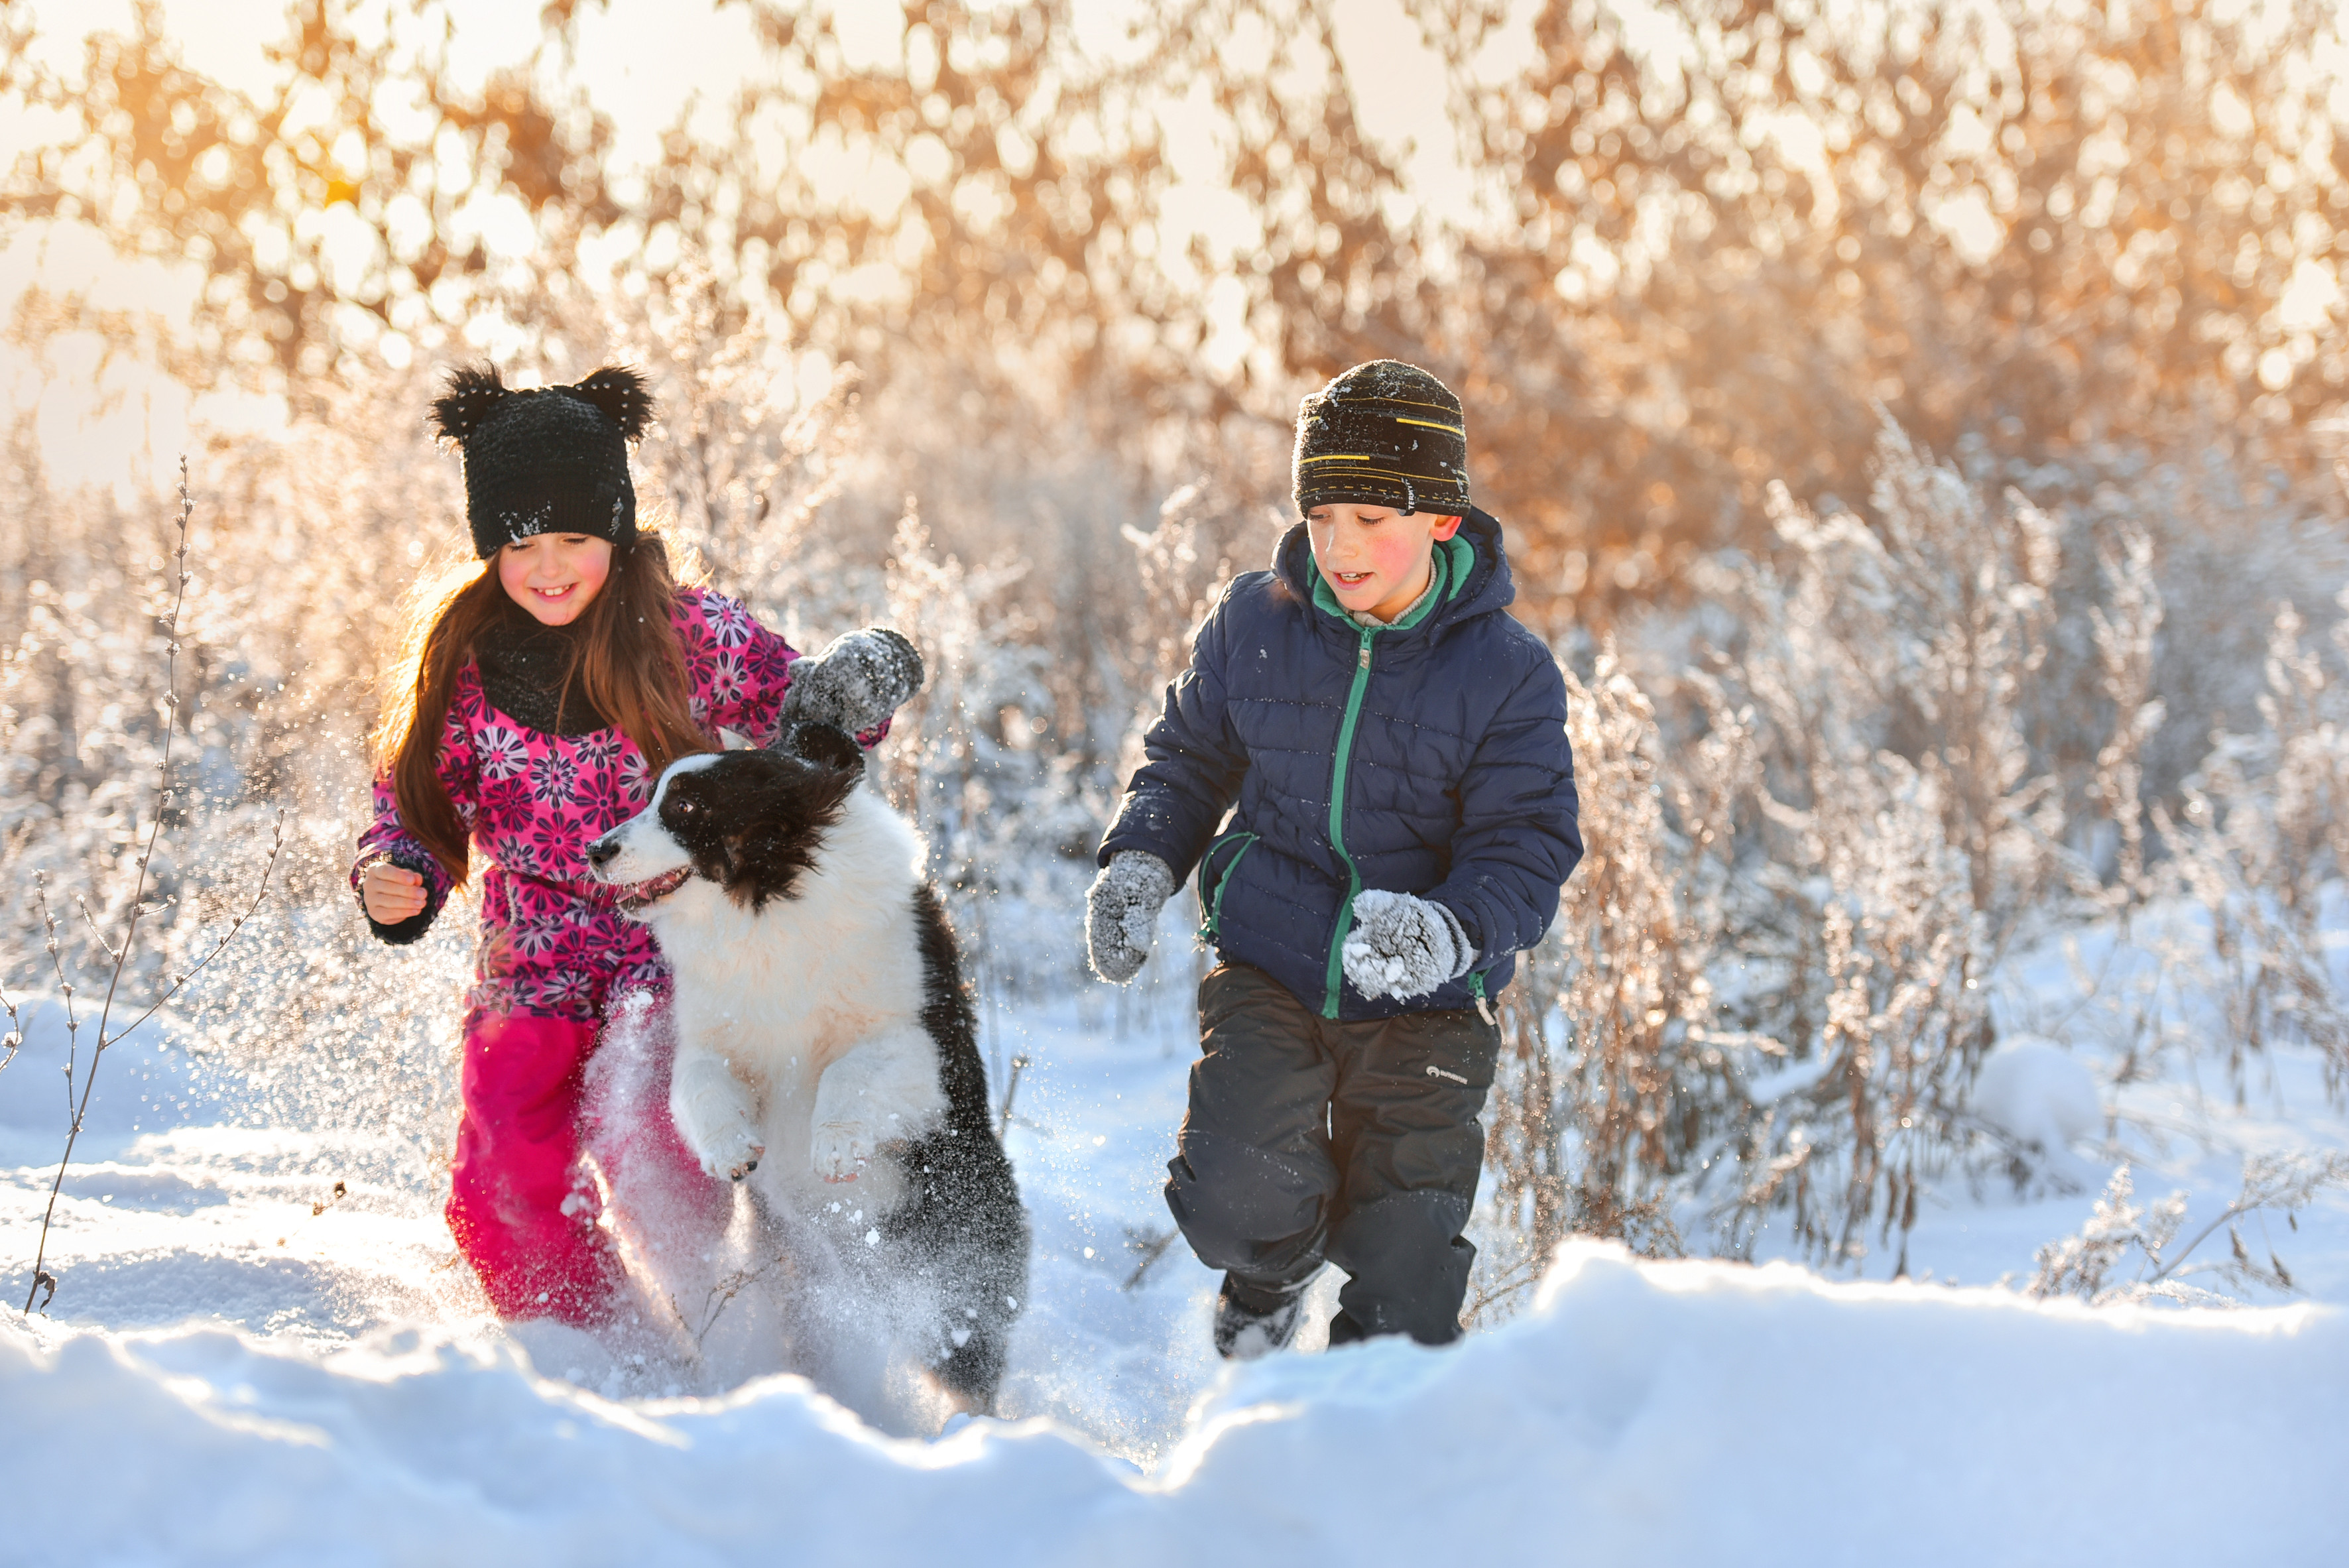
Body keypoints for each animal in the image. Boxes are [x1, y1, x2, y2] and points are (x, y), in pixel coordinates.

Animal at [582, 718, 1024, 1408]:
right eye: (649, 795)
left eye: (687, 807)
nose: (596, 850)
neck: (765, 912)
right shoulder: (715, 1039)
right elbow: (699, 1083)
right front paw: (731, 1150)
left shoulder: (919, 1046)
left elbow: (848, 1071)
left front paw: (836, 1147)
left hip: (953, 1266)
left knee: (965, 1367)